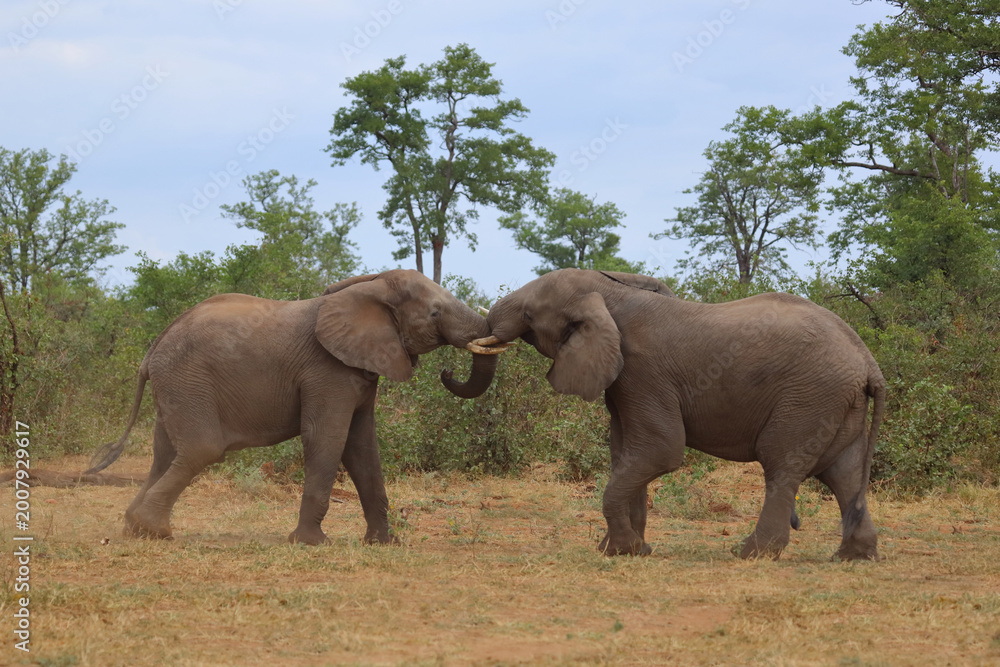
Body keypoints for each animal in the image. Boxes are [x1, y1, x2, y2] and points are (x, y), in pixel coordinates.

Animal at [87, 269, 501, 545]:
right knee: (201, 450)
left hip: (175, 387)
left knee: (164, 454)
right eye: (435, 313)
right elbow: (327, 440)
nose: (448, 371)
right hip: (188, 382)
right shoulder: (326, 372)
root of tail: (153, 347)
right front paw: (311, 543)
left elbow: (362, 448)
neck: (370, 289)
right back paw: (153, 530)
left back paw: (134, 528)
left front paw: (383, 544)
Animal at [445, 269, 885, 560]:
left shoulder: (644, 371)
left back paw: (749, 554)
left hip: (808, 397)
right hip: (835, 401)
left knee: (782, 466)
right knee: (844, 474)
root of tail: (868, 362)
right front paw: (628, 550)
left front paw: (623, 550)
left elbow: (659, 451)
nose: (446, 372)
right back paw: (852, 557)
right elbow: (626, 454)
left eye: (530, 315)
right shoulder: (626, 380)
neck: (608, 292)